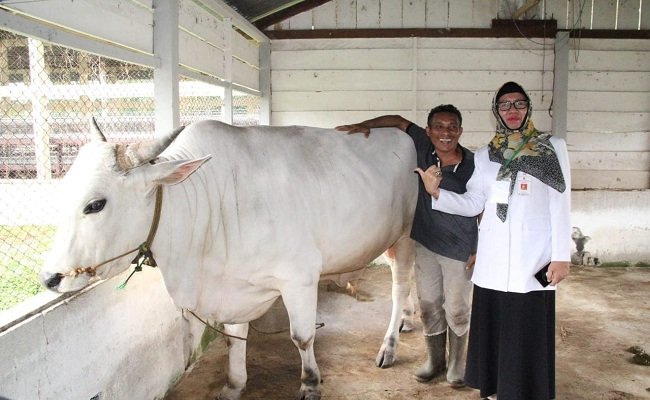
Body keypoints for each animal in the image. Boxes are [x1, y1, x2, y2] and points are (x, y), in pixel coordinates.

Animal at [39, 119, 416, 400]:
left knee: (400, 288)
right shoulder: (233, 284)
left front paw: (310, 384)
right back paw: (409, 321)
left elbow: (302, 337)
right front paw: (234, 384)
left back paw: (390, 345)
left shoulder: (299, 278)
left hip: (406, 237)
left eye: (95, 204)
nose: (50, 278)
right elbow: (234, 337)